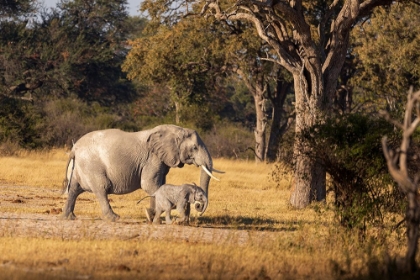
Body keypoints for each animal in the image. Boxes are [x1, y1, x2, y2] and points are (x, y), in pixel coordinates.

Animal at [62, 124, 221, 221]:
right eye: (194, 148)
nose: (198, 206)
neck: (174, 130)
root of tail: (74, 148)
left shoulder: (161, 160)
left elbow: (159, 185)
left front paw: (151, 216)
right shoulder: (152, 158)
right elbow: (149, 185)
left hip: (80, 167)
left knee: (74, 189)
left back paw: (69, 217)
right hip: (92, 165)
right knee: (102, 188)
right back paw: (114, 218)